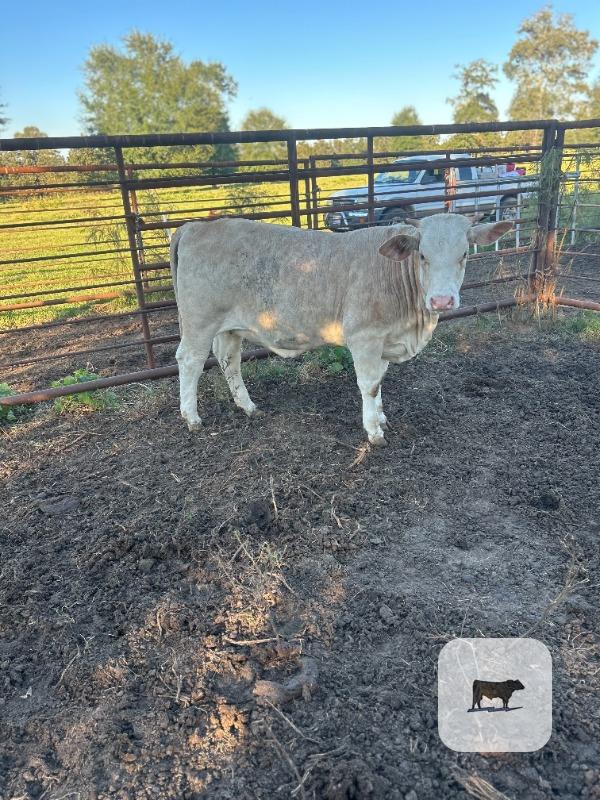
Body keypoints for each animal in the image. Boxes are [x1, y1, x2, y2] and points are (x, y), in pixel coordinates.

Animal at [169, 213, 512, 444]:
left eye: (464, 254)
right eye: (423, 255)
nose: (441, 300)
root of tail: (194, 226)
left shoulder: (383, 339)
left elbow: (380, 381)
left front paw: (382, 417)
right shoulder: (364, 336)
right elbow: (369, 384)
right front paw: (373, 431)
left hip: (229, 327)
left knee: (229, 361)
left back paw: (249, 407)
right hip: (200, 321)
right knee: (190, 361)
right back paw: (192, 417)